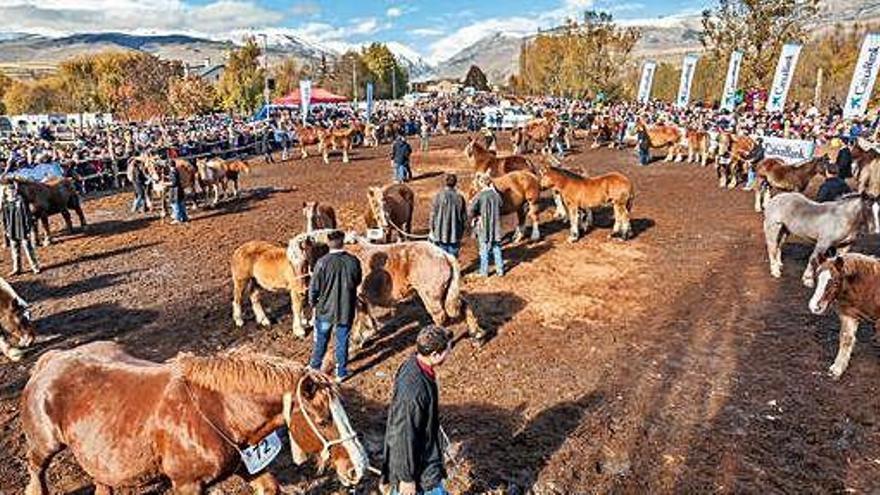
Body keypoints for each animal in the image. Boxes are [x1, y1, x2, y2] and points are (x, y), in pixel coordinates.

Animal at [21, 340, 368, 495]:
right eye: (323, 420)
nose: (358, 466)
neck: (219, 411)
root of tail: (51, 360)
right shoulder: (187, 484)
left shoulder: (249, 465)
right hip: (44, 445)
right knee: (36, 469)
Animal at [808, 250, 880, 382]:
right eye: (817, 277)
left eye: (835, 282)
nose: (814, 306)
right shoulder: (850, 315)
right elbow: (846, 339)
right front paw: (837, 369)